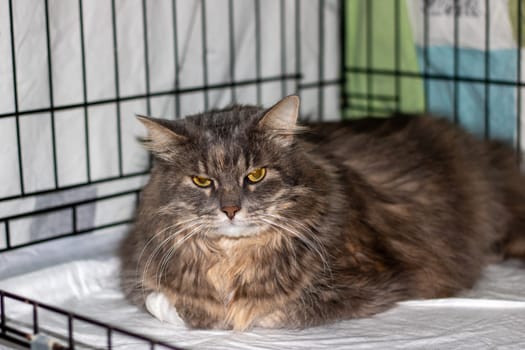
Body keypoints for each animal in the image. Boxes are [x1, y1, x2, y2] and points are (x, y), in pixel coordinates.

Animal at [118, 94, 524, 330]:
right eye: (202, 181)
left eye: (255, 175)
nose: (231, 209)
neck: (232, 257)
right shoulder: (136, 270)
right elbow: (161, 300)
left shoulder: (374, 280)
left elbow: (269, 313)